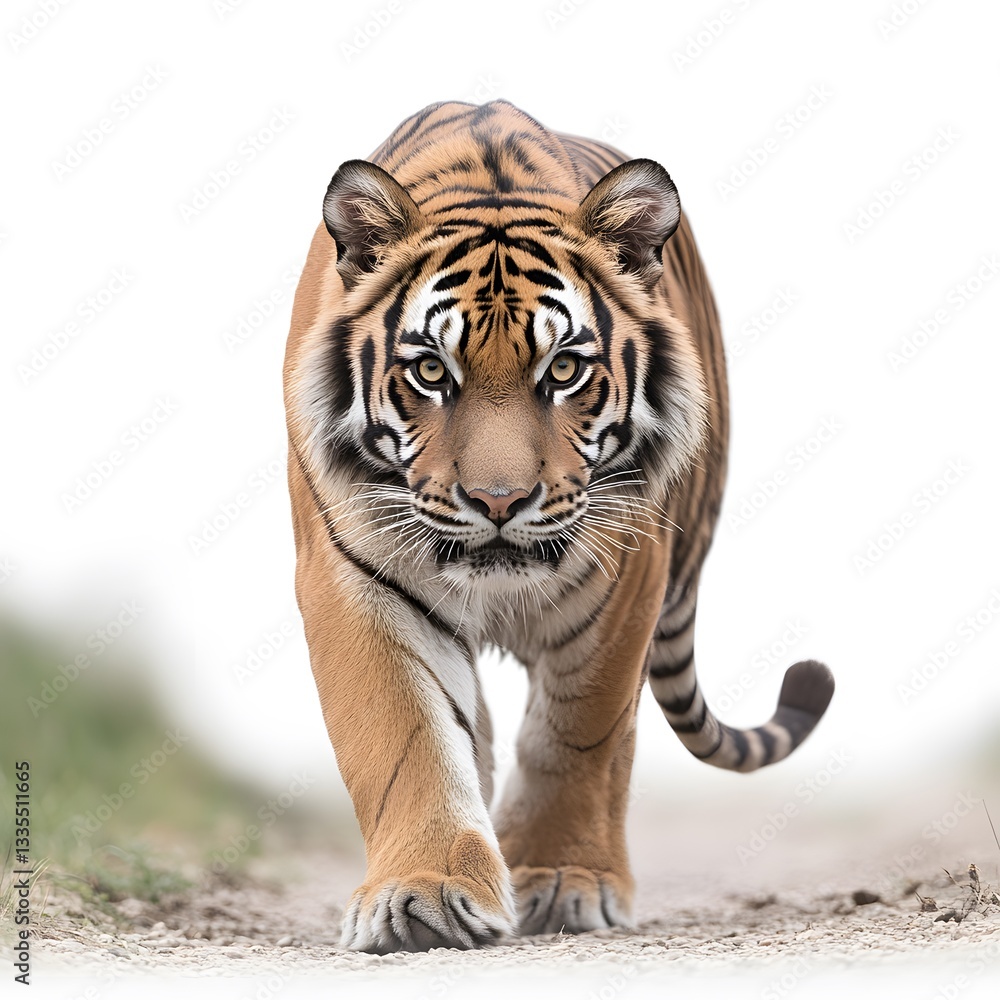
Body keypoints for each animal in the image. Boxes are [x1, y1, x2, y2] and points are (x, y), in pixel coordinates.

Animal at [283, 100, 834, 954]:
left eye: (564, 371)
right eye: (431, 372)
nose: (498, 501)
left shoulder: (628, 569)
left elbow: (579, 736)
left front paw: (566, 878)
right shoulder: (352, 572)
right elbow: (409, 736)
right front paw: (423, 895)